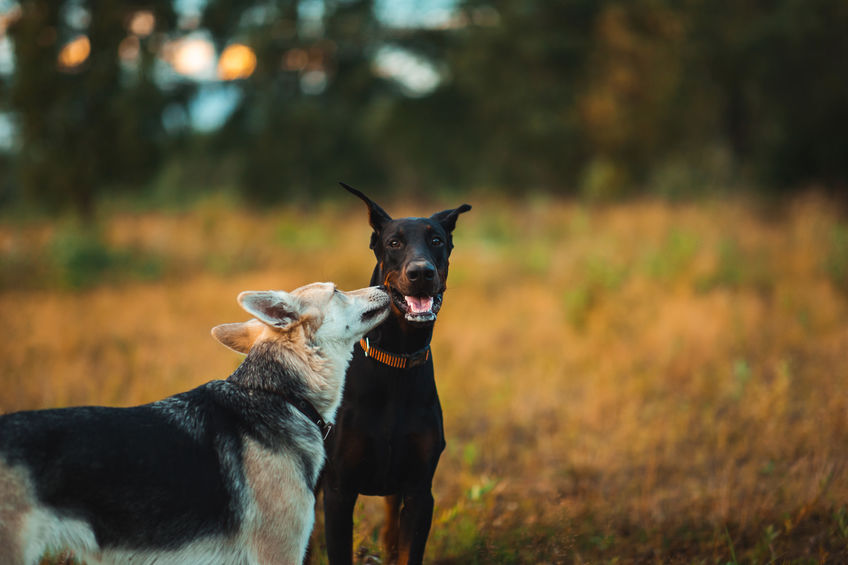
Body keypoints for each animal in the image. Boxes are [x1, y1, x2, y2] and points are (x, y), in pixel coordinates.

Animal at [322, 185, 470, 564]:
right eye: (393, 243)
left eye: (436, 240)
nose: (421, 273)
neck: (396, 362)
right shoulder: (339, 490)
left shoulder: (419, 491)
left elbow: (407, 549)